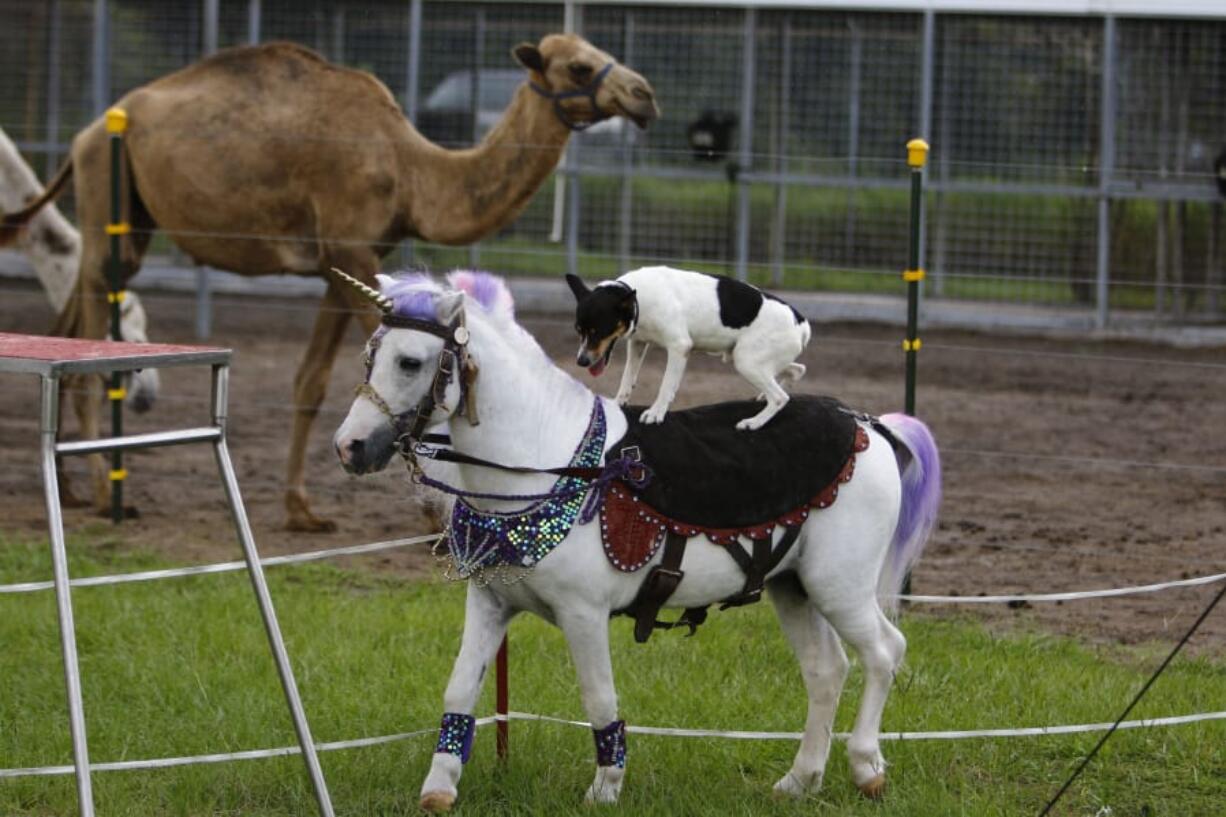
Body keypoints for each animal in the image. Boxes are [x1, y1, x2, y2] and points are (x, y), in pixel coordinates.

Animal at [2, 33, 662, 527]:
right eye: (578, 64)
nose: (644, 94)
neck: (413, 171)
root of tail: (85, 133)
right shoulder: (347, 244)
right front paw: (430, 518)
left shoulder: (342, 262)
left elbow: (312, 381)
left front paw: (301, 509)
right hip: (107, 198)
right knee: (93, 332)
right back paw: (102, 490)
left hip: (126, 219)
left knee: (69, 320)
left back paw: (69, 485)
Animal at [566, 267, 814, 431]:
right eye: (579, 330)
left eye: (598, 331)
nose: (581, 361)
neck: (639, 300)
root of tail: (801, 323)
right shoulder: (638, 343)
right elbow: (627, 378)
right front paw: (619, 403)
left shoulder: (679, 347)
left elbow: (666, 386)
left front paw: (656, 413)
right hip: (749, 359)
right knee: (797, 370)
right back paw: (764, 398)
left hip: (746, 362)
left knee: (780, 398)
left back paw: (753, 422)